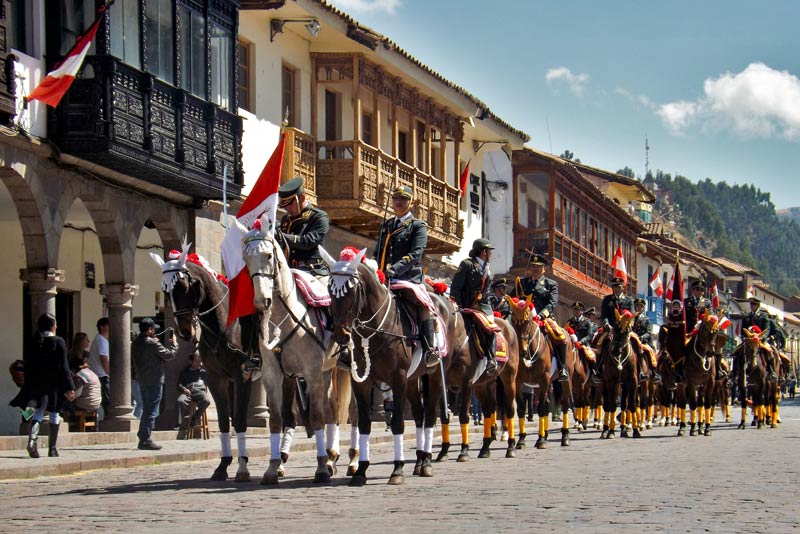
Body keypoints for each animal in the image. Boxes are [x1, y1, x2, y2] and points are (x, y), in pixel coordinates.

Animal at [153, 245, 256, 484]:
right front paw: (223, 466)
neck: (224, 323)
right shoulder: (216, 378)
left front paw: (242, 467)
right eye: (165, 291)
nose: (184, 331)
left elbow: (239, 421)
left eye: (183, 286)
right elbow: (224, 422)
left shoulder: (243, 376)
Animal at [242, 227, 352, 486]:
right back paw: (330, 457)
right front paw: (273, 467)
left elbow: (316, 417)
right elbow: (277, 419)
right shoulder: (274, 375)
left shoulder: (311, 373)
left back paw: (335, 459)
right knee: (330, 408)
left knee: (336, 410)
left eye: (268, 255)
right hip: (320, 372)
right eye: (246, 258)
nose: (262, 301)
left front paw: (320, 468)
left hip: (333, 370)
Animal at [600, 310, 636, 440]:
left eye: (627, 330)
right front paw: (610, 432)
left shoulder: (632, 381)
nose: (615, 350)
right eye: (615, 328)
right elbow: (612, 405)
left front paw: (635, 431)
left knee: (624, 404)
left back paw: (624, 429)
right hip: (604, 383)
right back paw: (605, 430)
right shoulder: (612, 381)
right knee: (607, 404)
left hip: (623, 385)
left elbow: (631, 404)